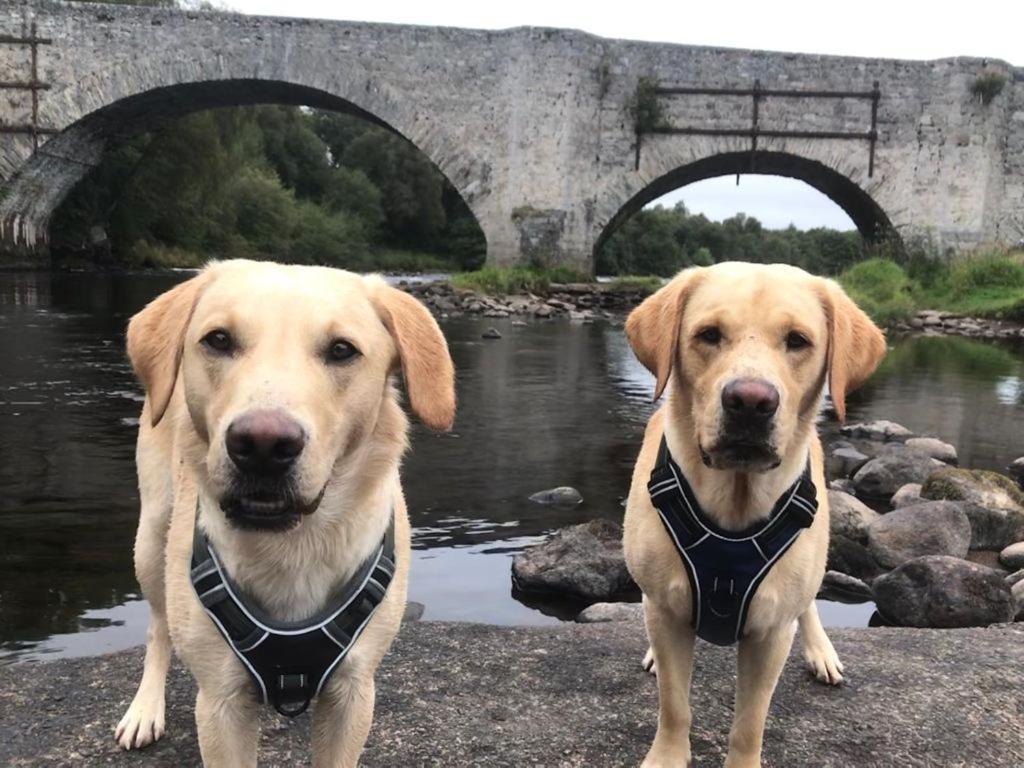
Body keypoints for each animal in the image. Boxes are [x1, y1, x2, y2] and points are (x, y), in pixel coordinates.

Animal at [113, 262, 456, 765]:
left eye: (341, 350)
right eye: (218, 340)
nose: (262, 444)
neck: (293, 545)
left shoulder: (353, 695)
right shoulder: (220, 705)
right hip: (151, 539)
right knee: (158, 628)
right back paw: (144, 709)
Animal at [618, 264, 884, 768]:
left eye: (798, 340)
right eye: (708, 334)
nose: (750, 401)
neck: (734, 506)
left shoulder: (771, 632)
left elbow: (749, 723)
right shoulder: (665, 610)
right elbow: (674, 703)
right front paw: (667, 755)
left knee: (810, 604)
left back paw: (821, 650)